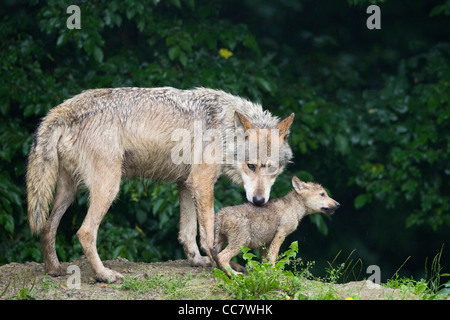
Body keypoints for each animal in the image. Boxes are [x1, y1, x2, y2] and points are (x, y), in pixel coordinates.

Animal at [27, 86, 296, 282]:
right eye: (251, 166)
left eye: (272, 170)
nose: (259, 201)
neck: (225, 129)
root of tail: (64, 108)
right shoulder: (202, 183)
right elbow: (208, 234)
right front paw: (221, 266)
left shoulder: (186, 184)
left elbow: (187, 232)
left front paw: (197, 260)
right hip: (109, 189)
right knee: (84, 232)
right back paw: (104, 275)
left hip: (68, 192)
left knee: (48, 227)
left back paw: (54, 270)